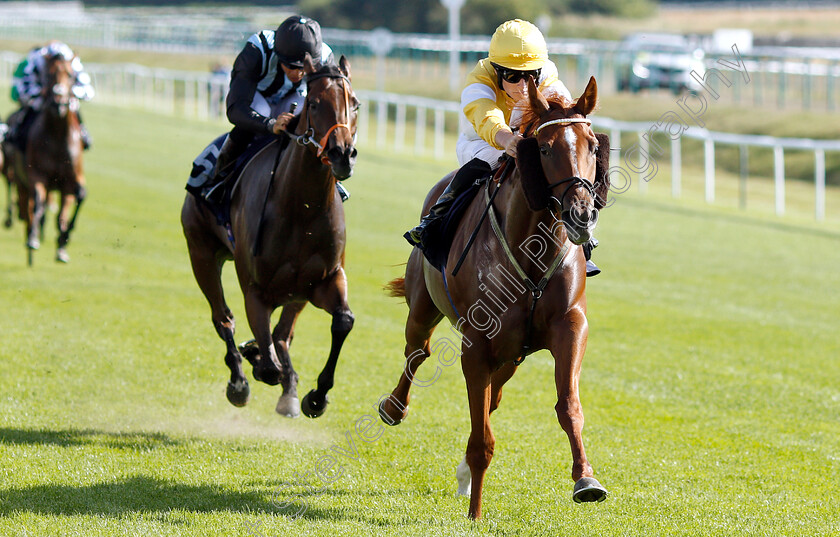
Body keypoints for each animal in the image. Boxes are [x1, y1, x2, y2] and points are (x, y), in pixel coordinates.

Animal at [13, 51, 86, 264]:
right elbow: (38, 203)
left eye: (70, 75)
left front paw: (63, 242)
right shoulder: (37, 175)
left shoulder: (72, 180)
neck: (57, 137)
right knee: (28, 208)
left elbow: (78, 199)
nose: (58, 101)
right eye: (48, 75)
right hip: (21, 180)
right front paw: (33, 240)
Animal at [181, 57, 358, 418]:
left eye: (355, 104)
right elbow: (266, 364)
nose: (342, 154)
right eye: (313, 103)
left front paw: (315, 396)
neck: (302, 208)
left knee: (282, 334)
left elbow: (343, 321)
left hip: (297, 292)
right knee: (224, 319)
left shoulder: (325, 279)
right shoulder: (256, 291)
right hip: (201, 254)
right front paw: (256, 359)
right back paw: (239, 381)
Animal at [380, 77, 612, 516]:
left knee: (495, 395)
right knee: (417, 352)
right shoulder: (477, 344)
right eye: (544, 148)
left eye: (593, 145)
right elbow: (481, 438)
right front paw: (474, 512)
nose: (581, 214)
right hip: (424, 307)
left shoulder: (570, 325)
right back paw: (393, 407)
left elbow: (568, 405)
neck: (532, 251)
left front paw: (586, 479)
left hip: (513, 352)